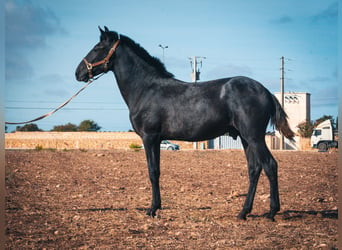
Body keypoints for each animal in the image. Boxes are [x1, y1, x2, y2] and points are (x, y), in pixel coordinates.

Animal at [75, 25, 294, 221]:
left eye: (97, 48)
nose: (78, 73)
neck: (146, 89)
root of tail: (265, 91)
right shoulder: (156, 139)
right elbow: (156, 171)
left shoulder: (150, 137)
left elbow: (153, 171)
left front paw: (152, 209)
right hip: (245, 138)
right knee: (254, 169)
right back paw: (243, 213)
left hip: (254, 137)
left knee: (270, 165)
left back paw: (272, 212)